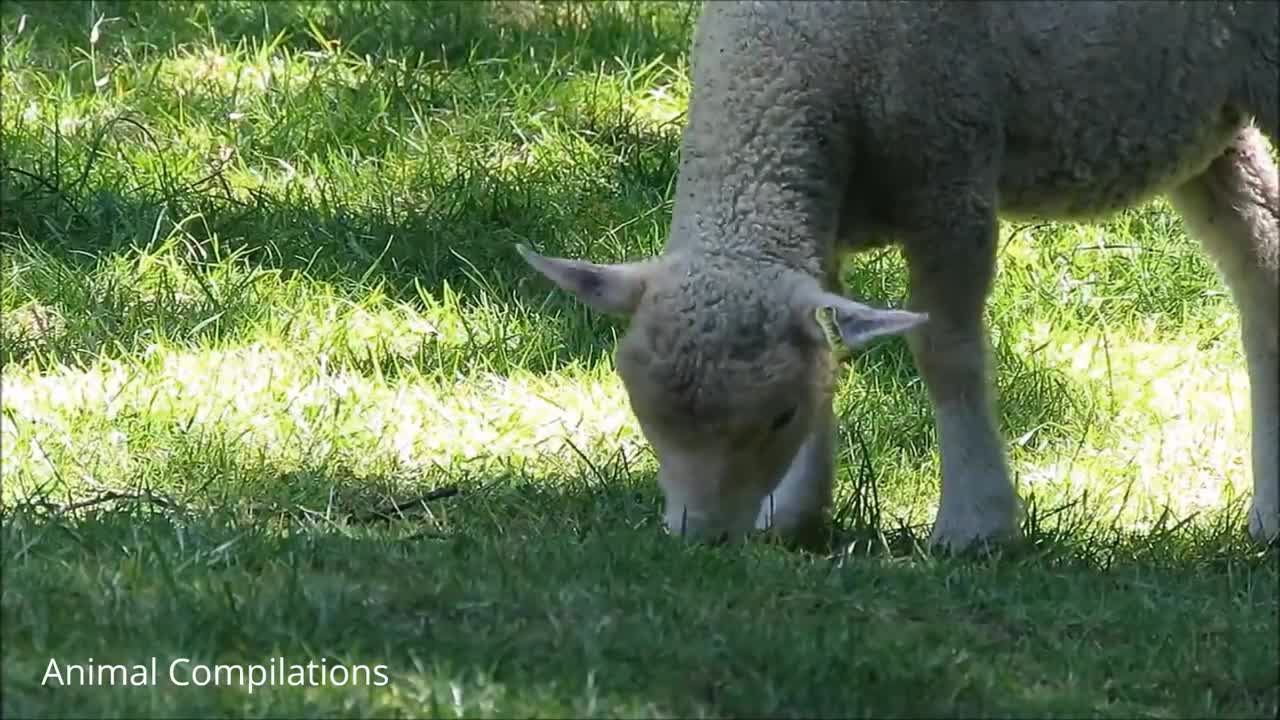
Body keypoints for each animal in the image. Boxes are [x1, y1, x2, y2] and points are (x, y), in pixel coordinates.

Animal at [519, 1, 1280, 548]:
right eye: (639, 407)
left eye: (779, 416)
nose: (700, 541)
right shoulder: (822, 222)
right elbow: (828, 351)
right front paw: (794, 514)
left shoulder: (949, 173)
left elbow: (947, 353)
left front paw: (975, 524)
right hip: (1205, 118)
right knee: (1262, 267)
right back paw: (1270, 514)